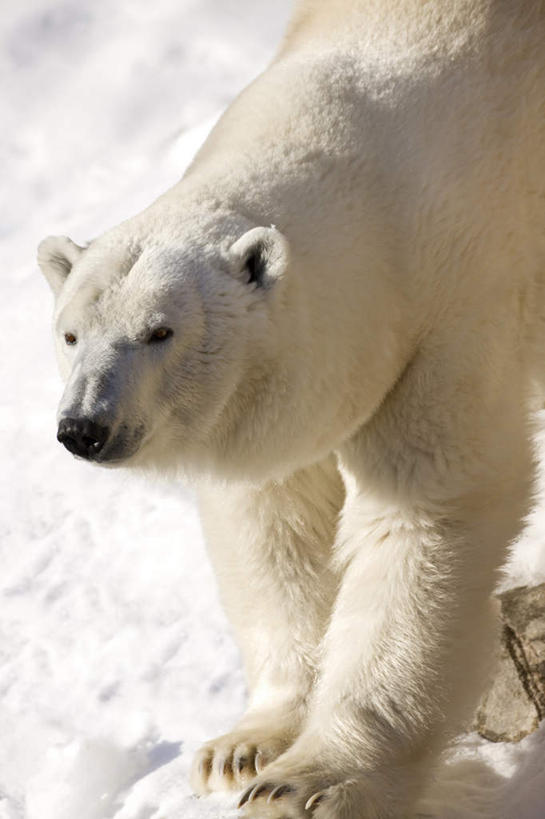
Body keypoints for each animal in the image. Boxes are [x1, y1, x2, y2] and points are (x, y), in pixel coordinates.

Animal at [38, 0, 544, 816]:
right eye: (71, 332)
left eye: (160, 331)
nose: (84, 427)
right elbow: (272, 529)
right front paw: (242, 749)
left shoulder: (451, 312)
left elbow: (422, 516)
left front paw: (309, 782)